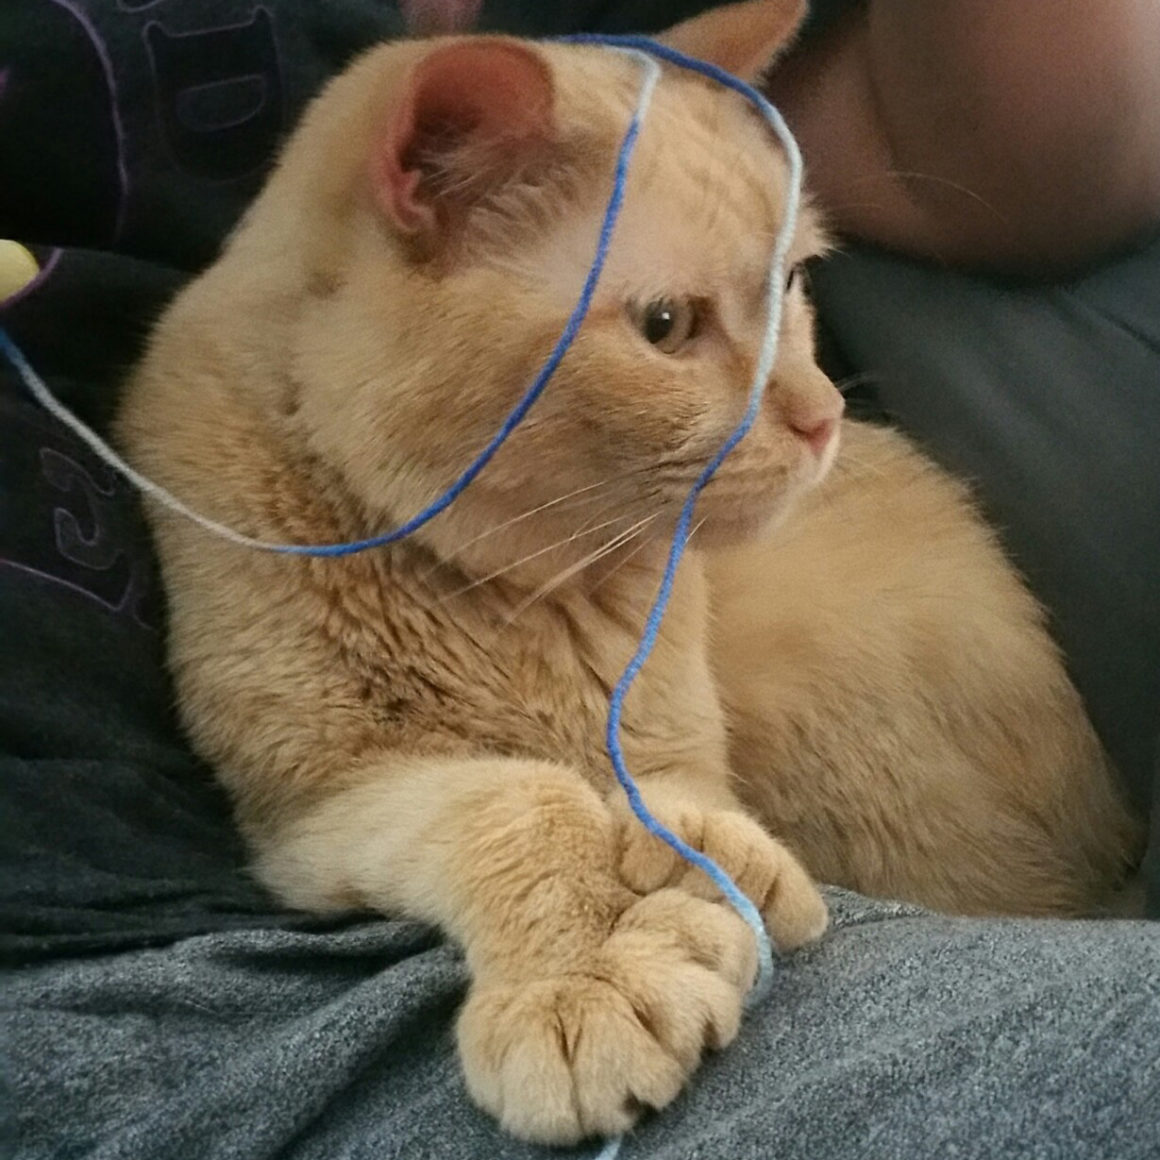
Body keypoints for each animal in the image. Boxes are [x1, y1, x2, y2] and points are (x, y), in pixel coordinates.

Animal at [120, 0, 1141, 1141]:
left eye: (792, 283)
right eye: (665, 326)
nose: (824, 414)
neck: (513, 595)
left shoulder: (667, 739)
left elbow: (662, 798)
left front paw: (697, 864)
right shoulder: (315, 807)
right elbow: (516, 800)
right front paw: (589, 968)